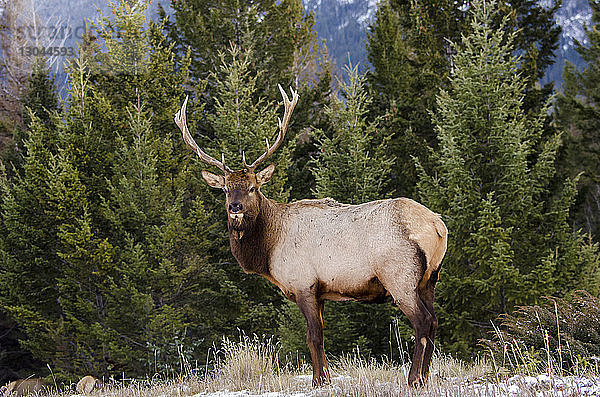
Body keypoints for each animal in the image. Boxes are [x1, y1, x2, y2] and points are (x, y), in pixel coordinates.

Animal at [173, 85, 446, 386]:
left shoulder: (304, 283)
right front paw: (324, 376)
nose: (235, 207)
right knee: (434, 320)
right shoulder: (321, 292)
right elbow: (320, 336)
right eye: (225, 189)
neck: (268, 250)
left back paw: (414, 378)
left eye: (253, 187)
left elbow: (312, 336)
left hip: (399, 276)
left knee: (422, 321)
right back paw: (426, 376)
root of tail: (437, 225)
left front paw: (319, 380)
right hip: (430, 278)